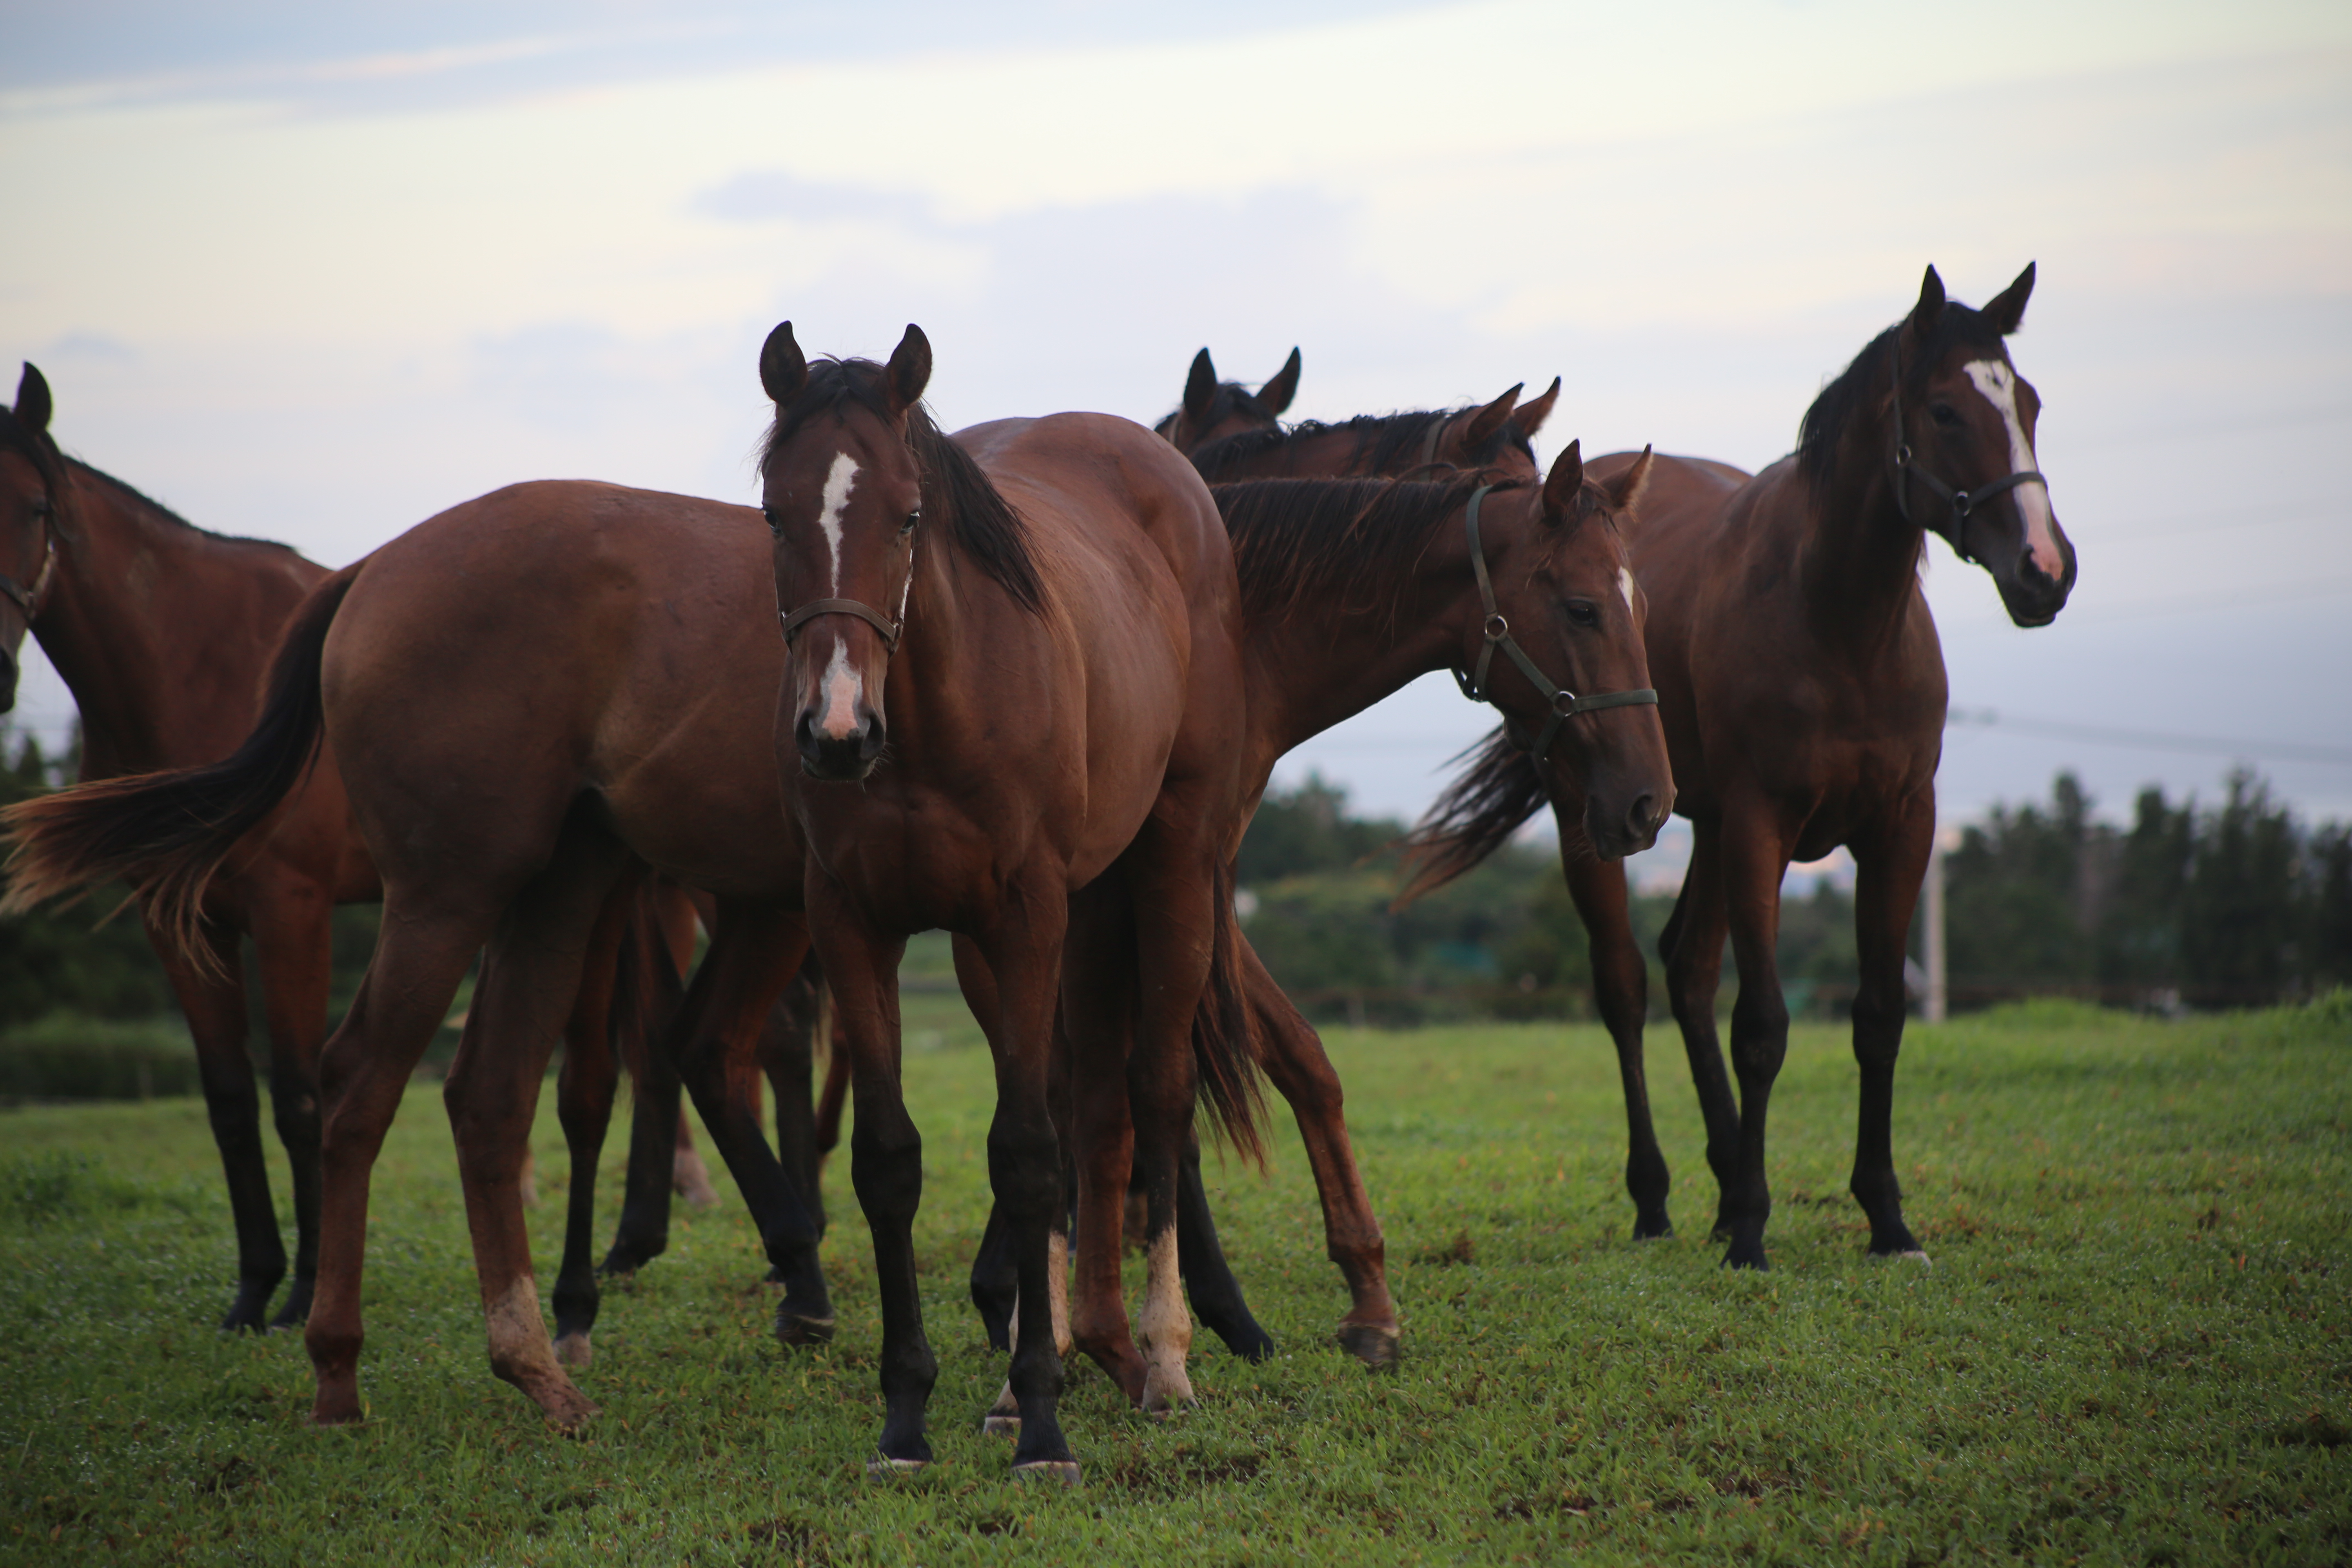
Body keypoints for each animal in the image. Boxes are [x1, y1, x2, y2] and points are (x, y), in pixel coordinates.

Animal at [1401, 267, 2069, 1278]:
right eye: (1948, 410)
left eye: (2026, 402)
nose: (2045, 569)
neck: (1839, 623)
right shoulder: (1764, 825)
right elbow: (1761, 1026)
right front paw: (1754, 1229)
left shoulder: (1902, 826)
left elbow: (1878, 1016)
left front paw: (1885, 1218)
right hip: (1602, 815)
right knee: (1629, 986)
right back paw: (1661, 1199)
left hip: (1705, 823)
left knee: (1687, 966)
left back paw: (1721, 1181)